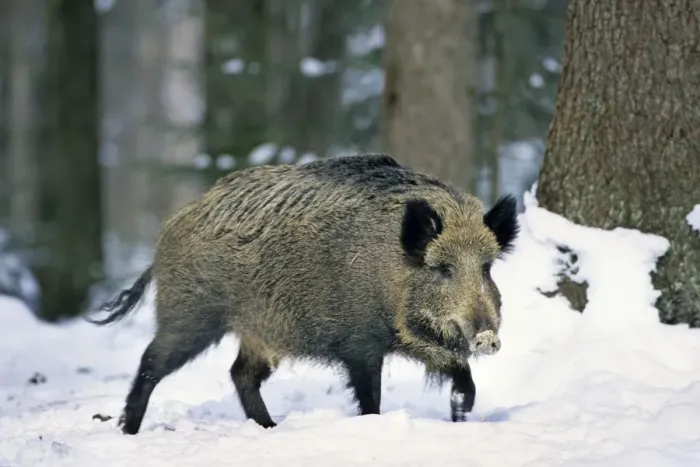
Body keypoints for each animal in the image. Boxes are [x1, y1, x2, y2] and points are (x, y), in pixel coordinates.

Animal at [89, 153, 518, 434]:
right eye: (443, 268)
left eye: (486, 267)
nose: (487, 336)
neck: (391, 273)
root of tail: (172, 227)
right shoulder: (360, 343)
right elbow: (370, 397)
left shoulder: (424, 343)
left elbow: (462, 377)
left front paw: (461, 414)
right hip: (191, 314)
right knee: (151, 362)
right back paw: (128, 429)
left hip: (260, 333)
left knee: (240, 374)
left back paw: (270, 427)